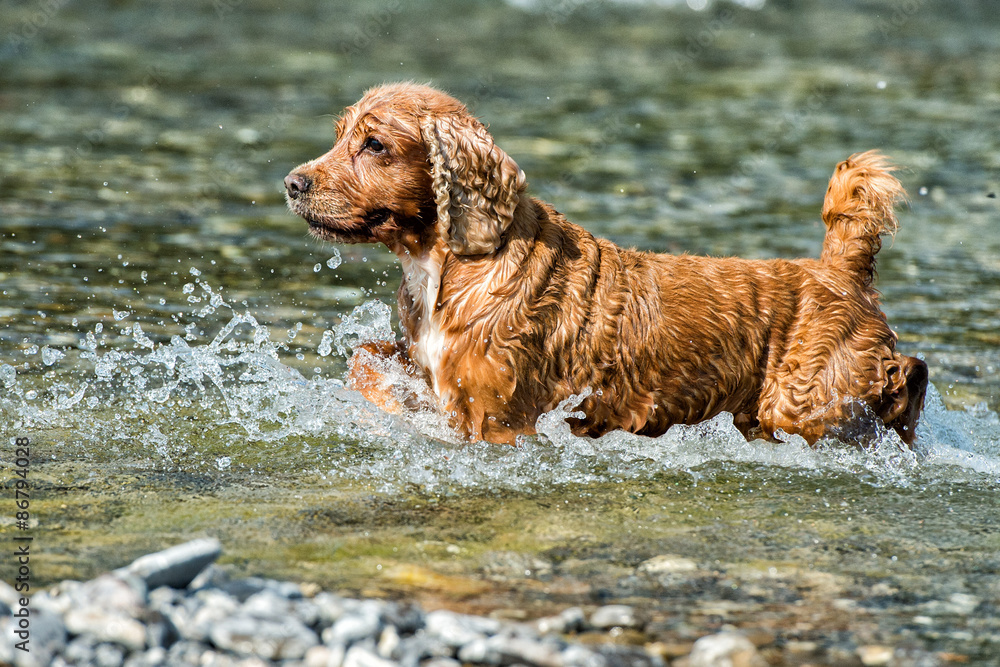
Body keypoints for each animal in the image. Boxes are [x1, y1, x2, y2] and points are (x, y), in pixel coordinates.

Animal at [284, 85, 928, 448]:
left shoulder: (495, 416)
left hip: (802, 401)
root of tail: (839, 270)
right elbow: (367, 357)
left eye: (374, 145)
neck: (454, 266)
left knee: (904, 374)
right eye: (339, 135)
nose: (292, 182)